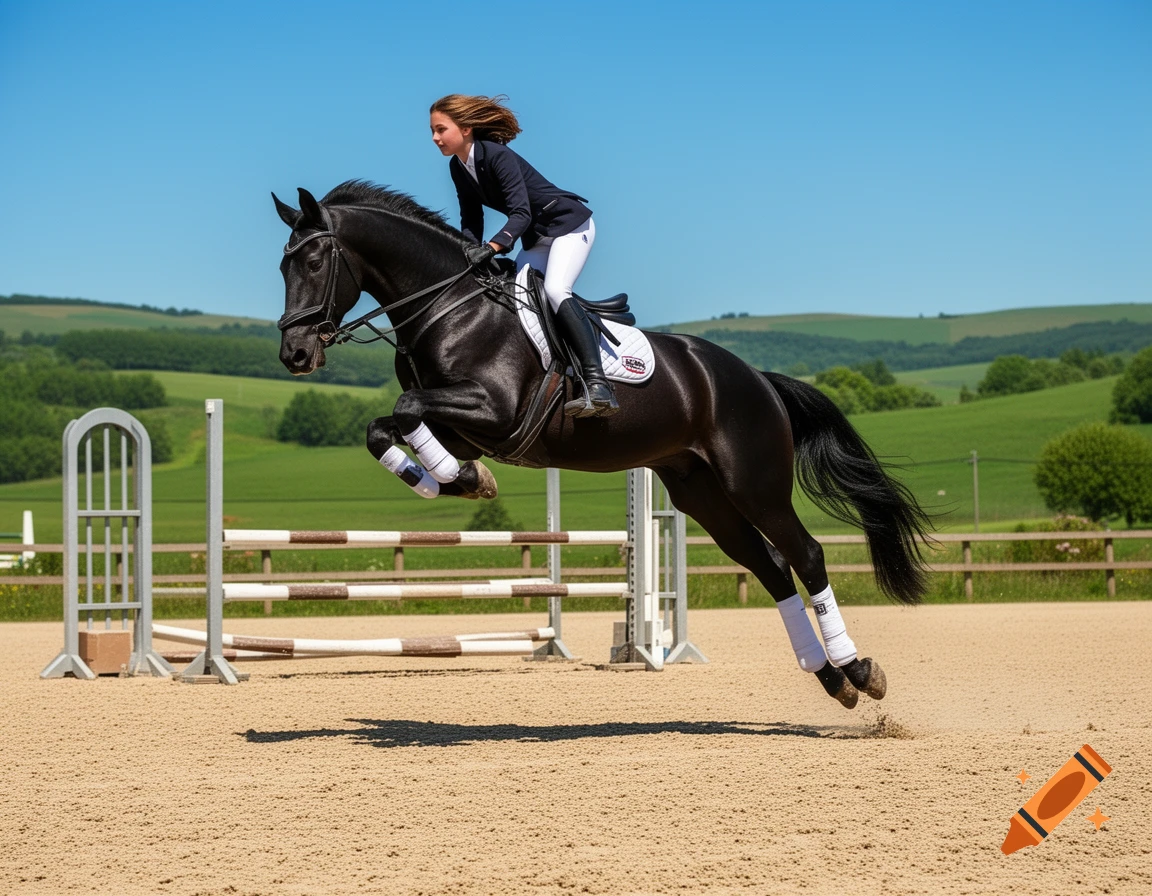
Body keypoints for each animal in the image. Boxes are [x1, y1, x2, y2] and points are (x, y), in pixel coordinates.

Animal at [272, 181, 933, 710]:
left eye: (315, 260)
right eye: (283, 267)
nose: (295, 355)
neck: (448, 306)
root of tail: (757, 379)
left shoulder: (494, 410)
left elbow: (407, 411)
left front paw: (463, 481)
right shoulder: (467, 425)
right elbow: (385, 427)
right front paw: (460, 480)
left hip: (753, 483)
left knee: (806, 556)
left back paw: (859, 671)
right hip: (701, 494)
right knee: (771, 567)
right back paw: (832, 679)